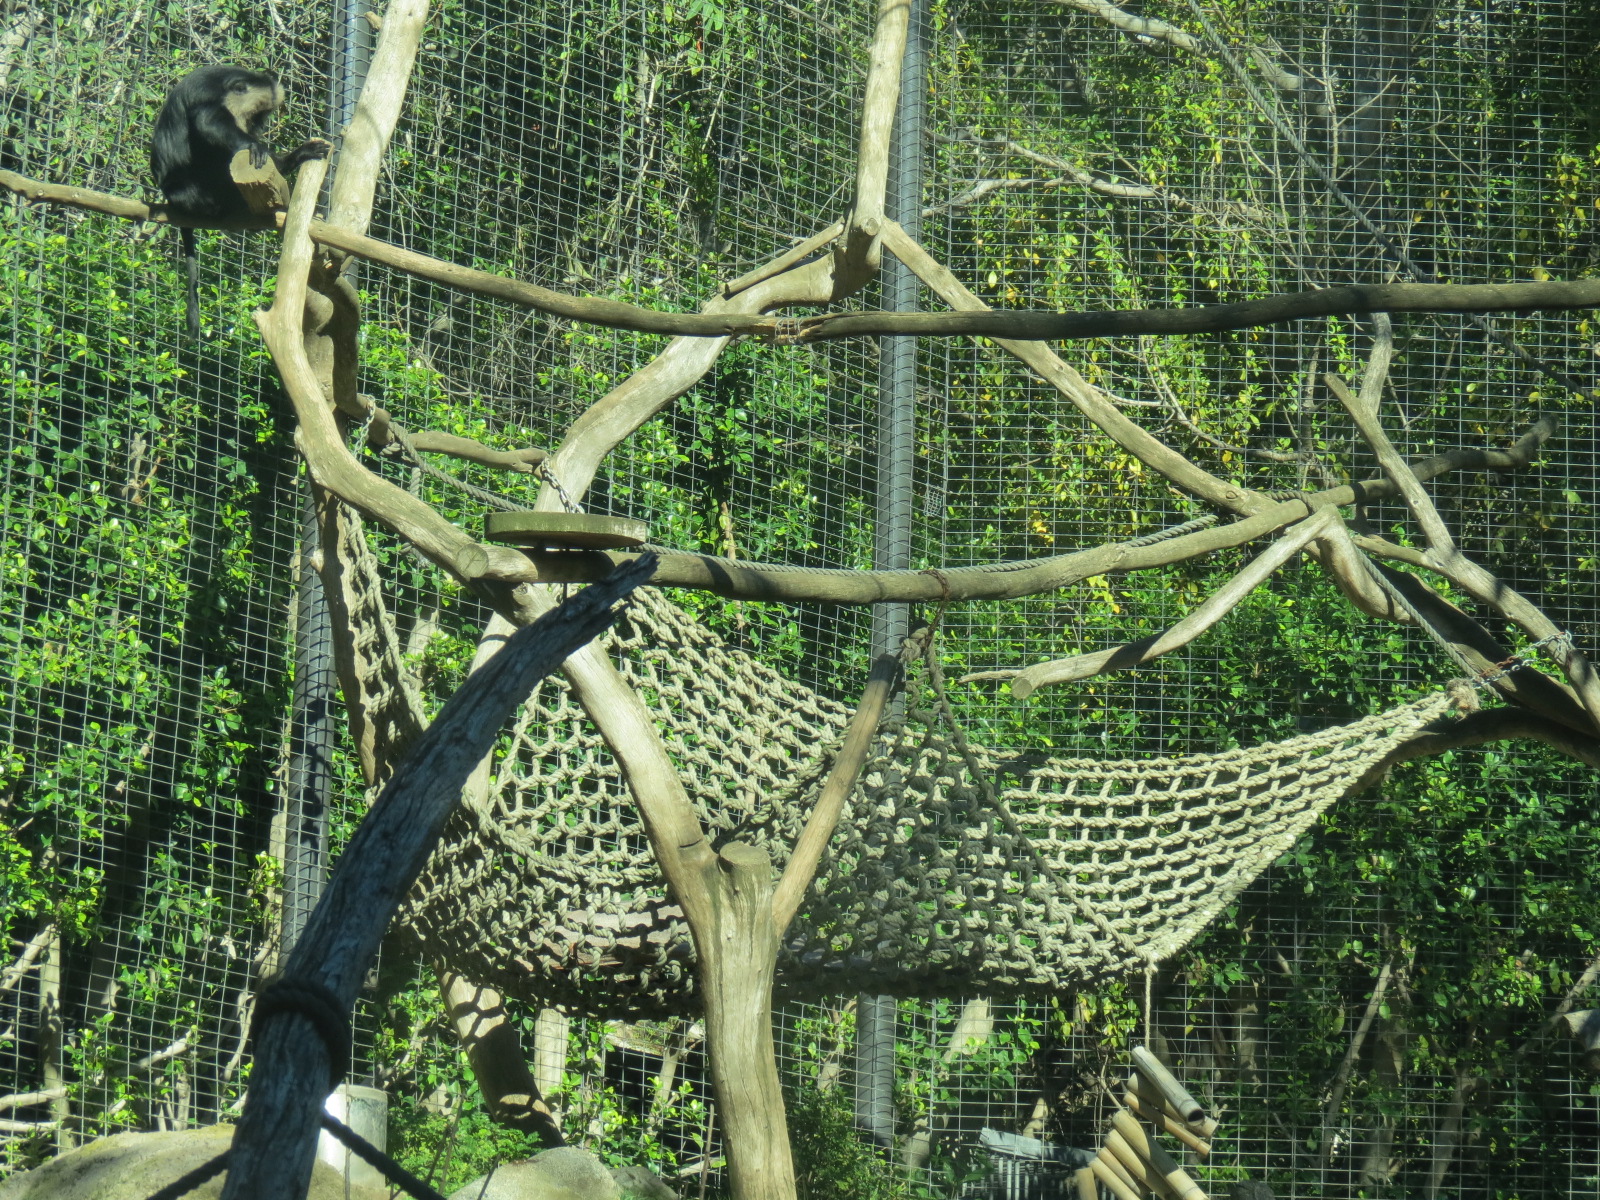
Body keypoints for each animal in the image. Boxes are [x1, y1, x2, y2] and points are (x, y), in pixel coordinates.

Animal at [150, 66, 330, 338]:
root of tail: (173, 198)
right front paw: (253, 145)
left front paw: (295, 157)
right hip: (197, 189)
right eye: (256, 113)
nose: (255, 126)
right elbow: (205, 119)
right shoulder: (213, 92)